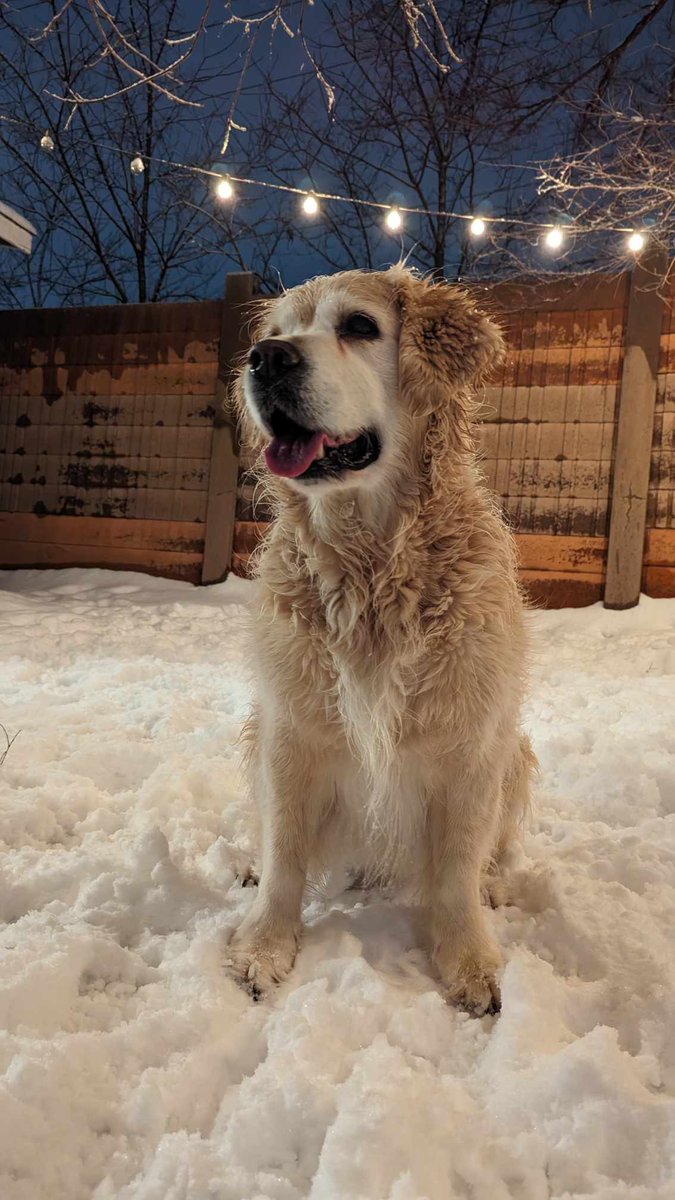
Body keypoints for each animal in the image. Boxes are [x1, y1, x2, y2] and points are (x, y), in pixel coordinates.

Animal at [225, 267, 530, 1017]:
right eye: (277, 333)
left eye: (359, 327)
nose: (265, 360)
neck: (369, 566)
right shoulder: (288, 729)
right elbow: (284, 852)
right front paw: (264, 947)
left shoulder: (472, 739)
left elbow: (457, 864)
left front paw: (469, 959)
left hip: (517, 750)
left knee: (498, 844)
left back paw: (497, 882)